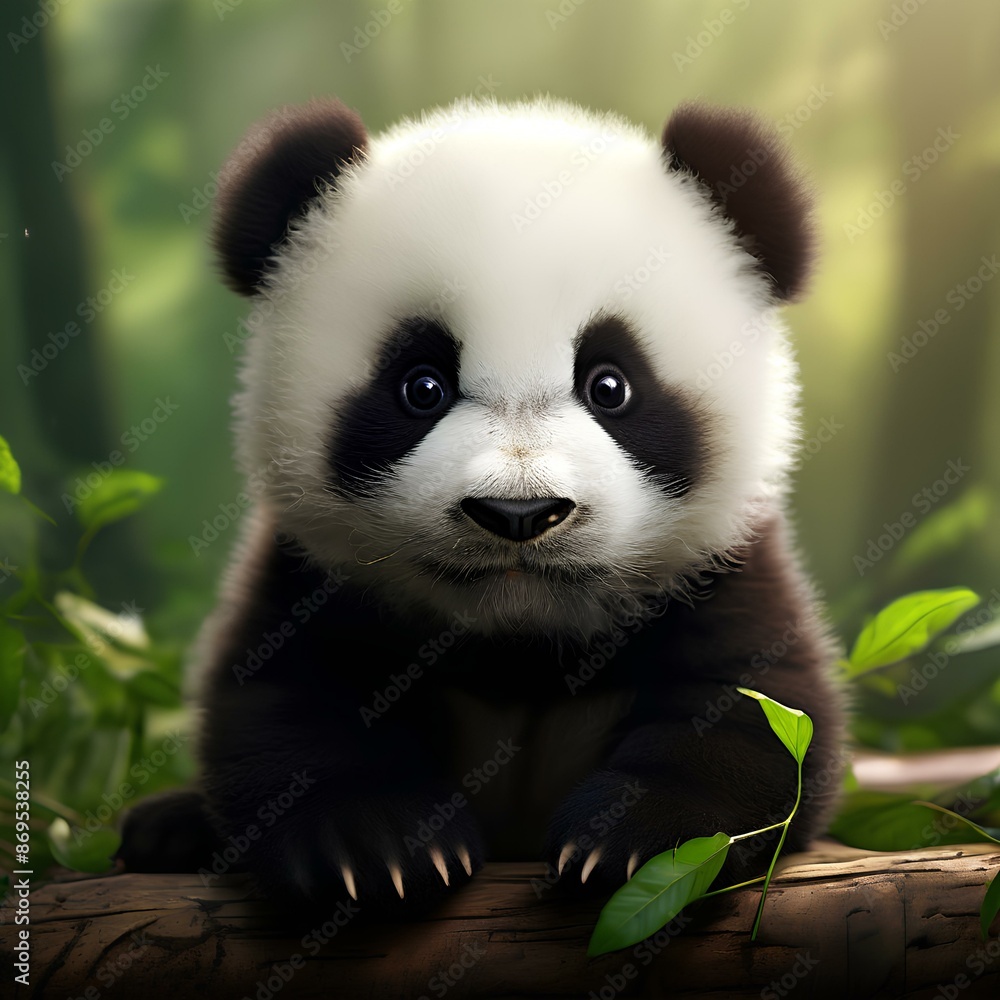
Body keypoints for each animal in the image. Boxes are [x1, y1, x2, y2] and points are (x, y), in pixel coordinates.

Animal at [117, 95, 845, 919]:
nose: (518, 513)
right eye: (421, 386)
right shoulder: (310, 572)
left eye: (610, 385)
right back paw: (168, 830)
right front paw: (372, 844)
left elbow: (753, 710)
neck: (517, 641)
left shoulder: (721, 564)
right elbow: (288, 704)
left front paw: (644, 842)